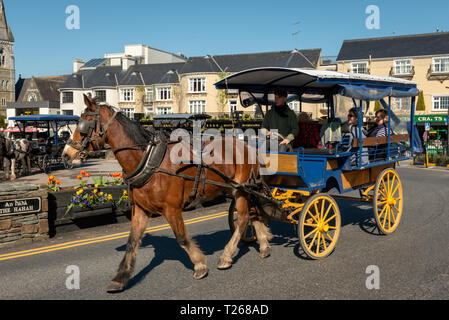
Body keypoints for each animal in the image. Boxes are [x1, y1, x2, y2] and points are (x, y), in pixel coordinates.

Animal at [61, 95, 272, 292]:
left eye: (84, 124)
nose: (65, 154)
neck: (149, 161)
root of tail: (247, 147)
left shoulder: (172, 209)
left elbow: (182, 238)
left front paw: (199, 265)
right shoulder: (141, 210)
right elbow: (132, 242)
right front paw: (120, 278)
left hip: (240, 190)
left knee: (243, 218)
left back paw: (227, 255)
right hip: (239, 189)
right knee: (254, 214)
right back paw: (264, 245)